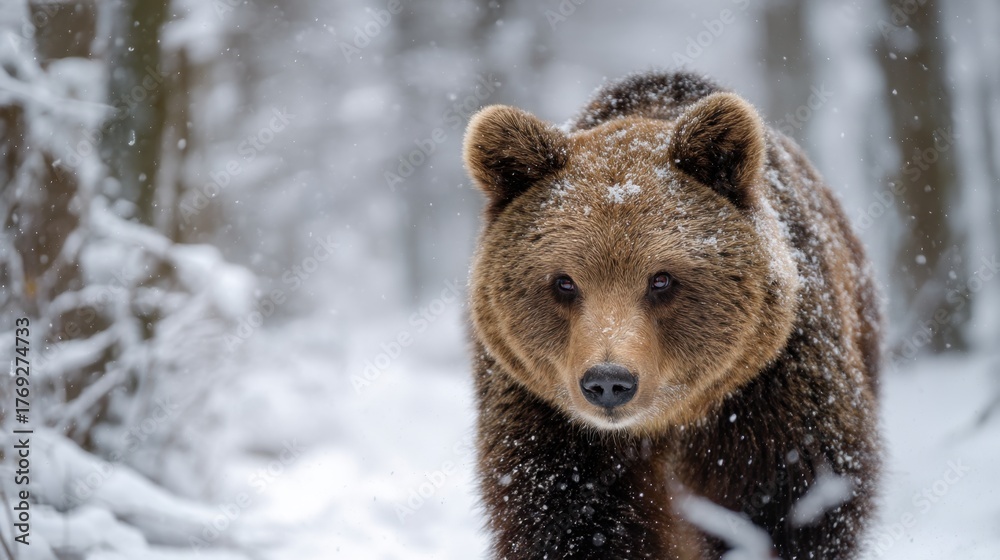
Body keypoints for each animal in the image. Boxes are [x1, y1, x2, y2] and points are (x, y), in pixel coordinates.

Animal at [462, 71, 882, 559]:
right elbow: (572, 518)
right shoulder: (547, 416)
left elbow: (796, 506)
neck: (670, 419)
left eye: (660, 279)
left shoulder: (773, 396)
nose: (609, 382)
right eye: (564, 281)